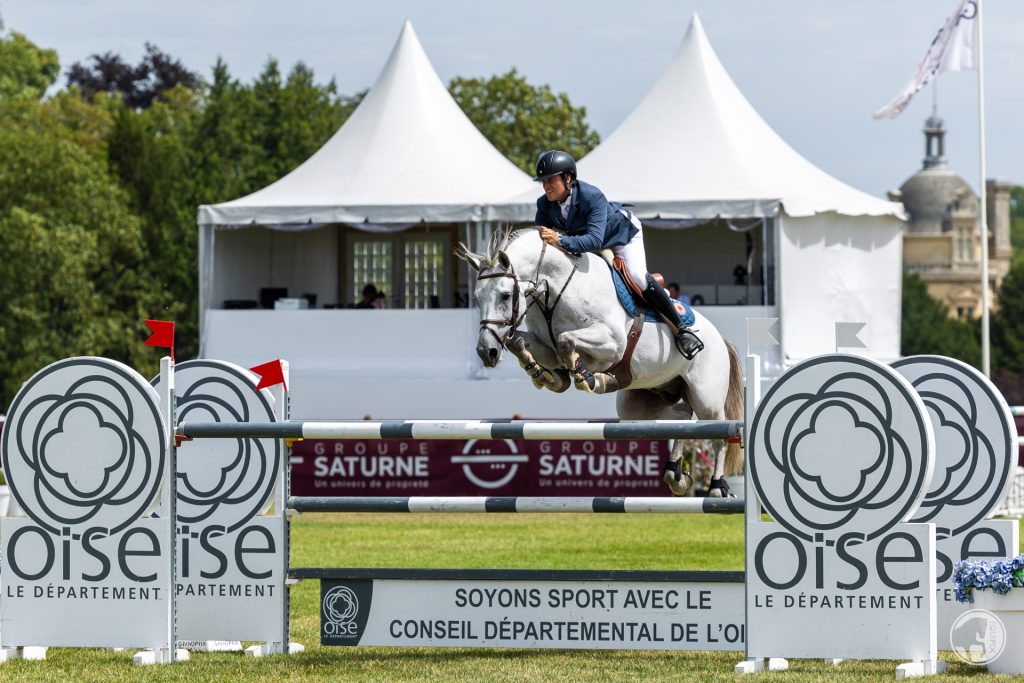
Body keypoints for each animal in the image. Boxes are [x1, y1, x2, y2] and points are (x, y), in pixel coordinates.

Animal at [458, 228, 745, 497]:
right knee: (682, 416)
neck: (555, 290)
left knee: (718, 435)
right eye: (476, 298)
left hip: (706, 397)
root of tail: (721, 339)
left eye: (506, 296)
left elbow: (566, 341)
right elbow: (520, 342)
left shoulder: (613, 343)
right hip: (639, 405)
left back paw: (718, 487)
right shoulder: (545, 346)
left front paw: (588, 377)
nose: (486, 351)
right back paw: (675, 475)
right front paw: (548, 376)